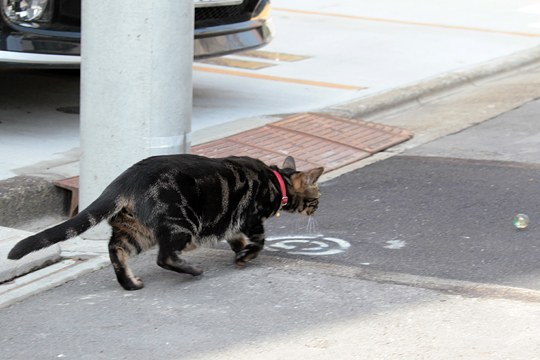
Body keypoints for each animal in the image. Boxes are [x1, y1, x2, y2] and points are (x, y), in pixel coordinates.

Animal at [8, 154, 322, 290]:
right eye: (317, 197)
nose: (318, 208)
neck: (276, 180)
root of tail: (124, 179)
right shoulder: (251, 218)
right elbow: (258, 241)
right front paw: (245, 256)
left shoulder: (231, 222)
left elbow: (236, 238)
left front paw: (239, 252)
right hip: (180, 223)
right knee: (165, 256)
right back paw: (193, 269)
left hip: (135, 230)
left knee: (116, 250)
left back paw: (130, 283)